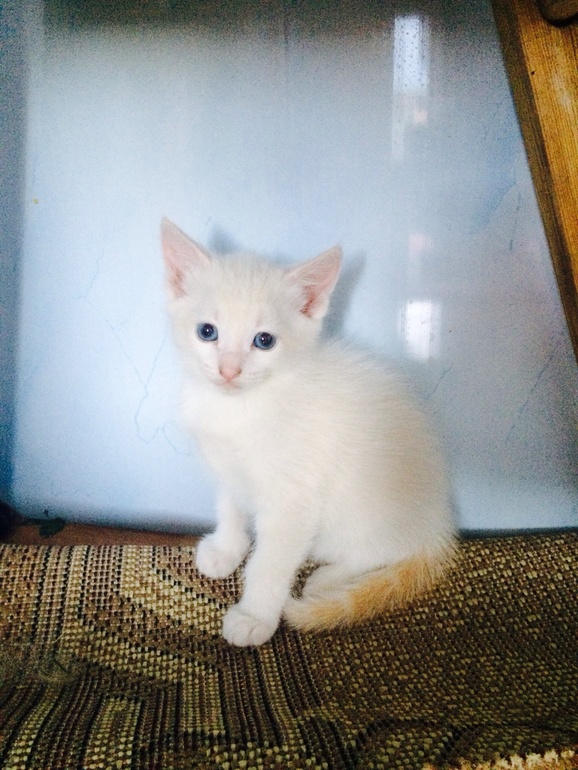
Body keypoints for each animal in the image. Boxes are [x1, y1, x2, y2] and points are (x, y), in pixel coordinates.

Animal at [162, 217, 456, 647]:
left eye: (264, 340)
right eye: (207, 332)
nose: (229, 370)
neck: (239, 408)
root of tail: (436, 525)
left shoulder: (293, 499)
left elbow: (269, 563)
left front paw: (254, 616)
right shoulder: (227, 465)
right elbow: (230, 504)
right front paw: (227, 548)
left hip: (355, 512)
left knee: (383, 551)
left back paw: (329, 579)